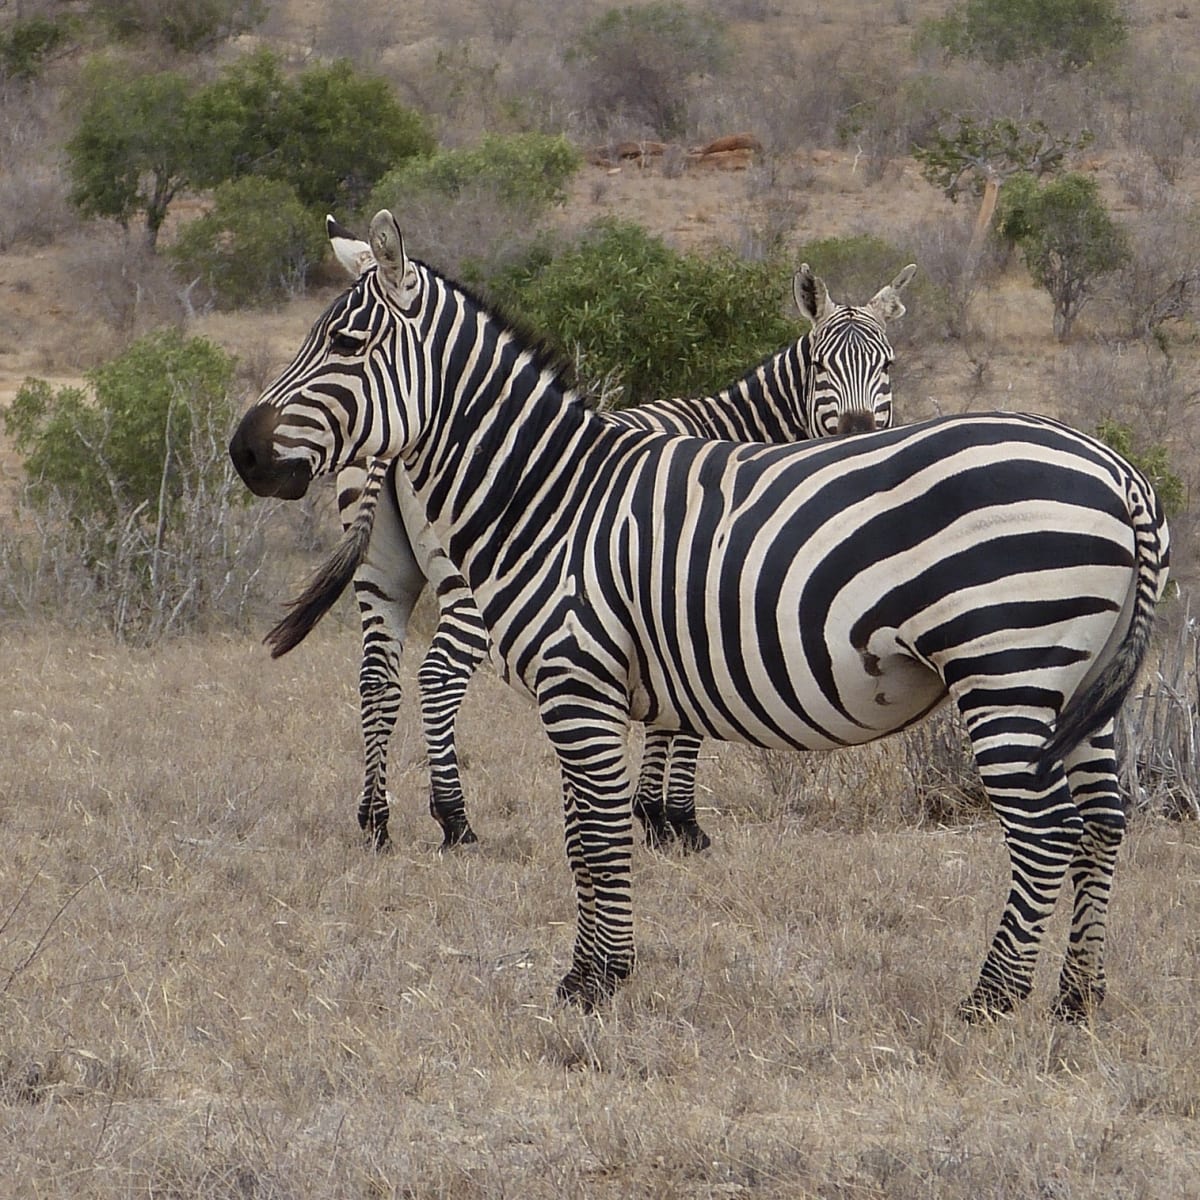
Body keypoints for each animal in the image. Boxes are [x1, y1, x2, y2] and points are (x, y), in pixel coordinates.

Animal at [267, 216, 914, 853]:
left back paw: (376, 821)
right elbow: (687, 720)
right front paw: (677, 822)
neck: (737, 432)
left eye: (886, 367)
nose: (857, 432)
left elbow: (668, 711)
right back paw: (455, 821)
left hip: (381, 574)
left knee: (377, 677)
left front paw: (652, 816)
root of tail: (397, 443)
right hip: (467, 584)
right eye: (820, 366)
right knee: (436, 677)